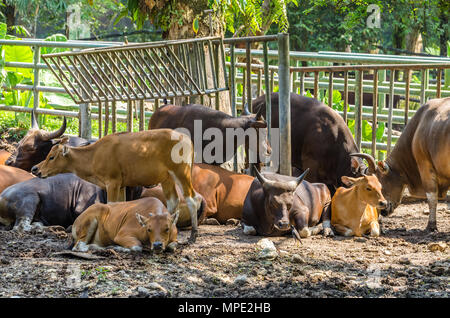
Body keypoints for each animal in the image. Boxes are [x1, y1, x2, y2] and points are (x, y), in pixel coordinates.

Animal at [31, 129, 200, 241]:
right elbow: (121, 205)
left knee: (192, 199)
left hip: (181, 172)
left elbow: (111, 205)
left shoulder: (112, 182)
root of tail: (187, 139)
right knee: (173, 201)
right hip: (167, 178)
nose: (35, 169)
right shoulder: (121, 185)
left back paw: (193, 235)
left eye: (51, 157)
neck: (94, 155)